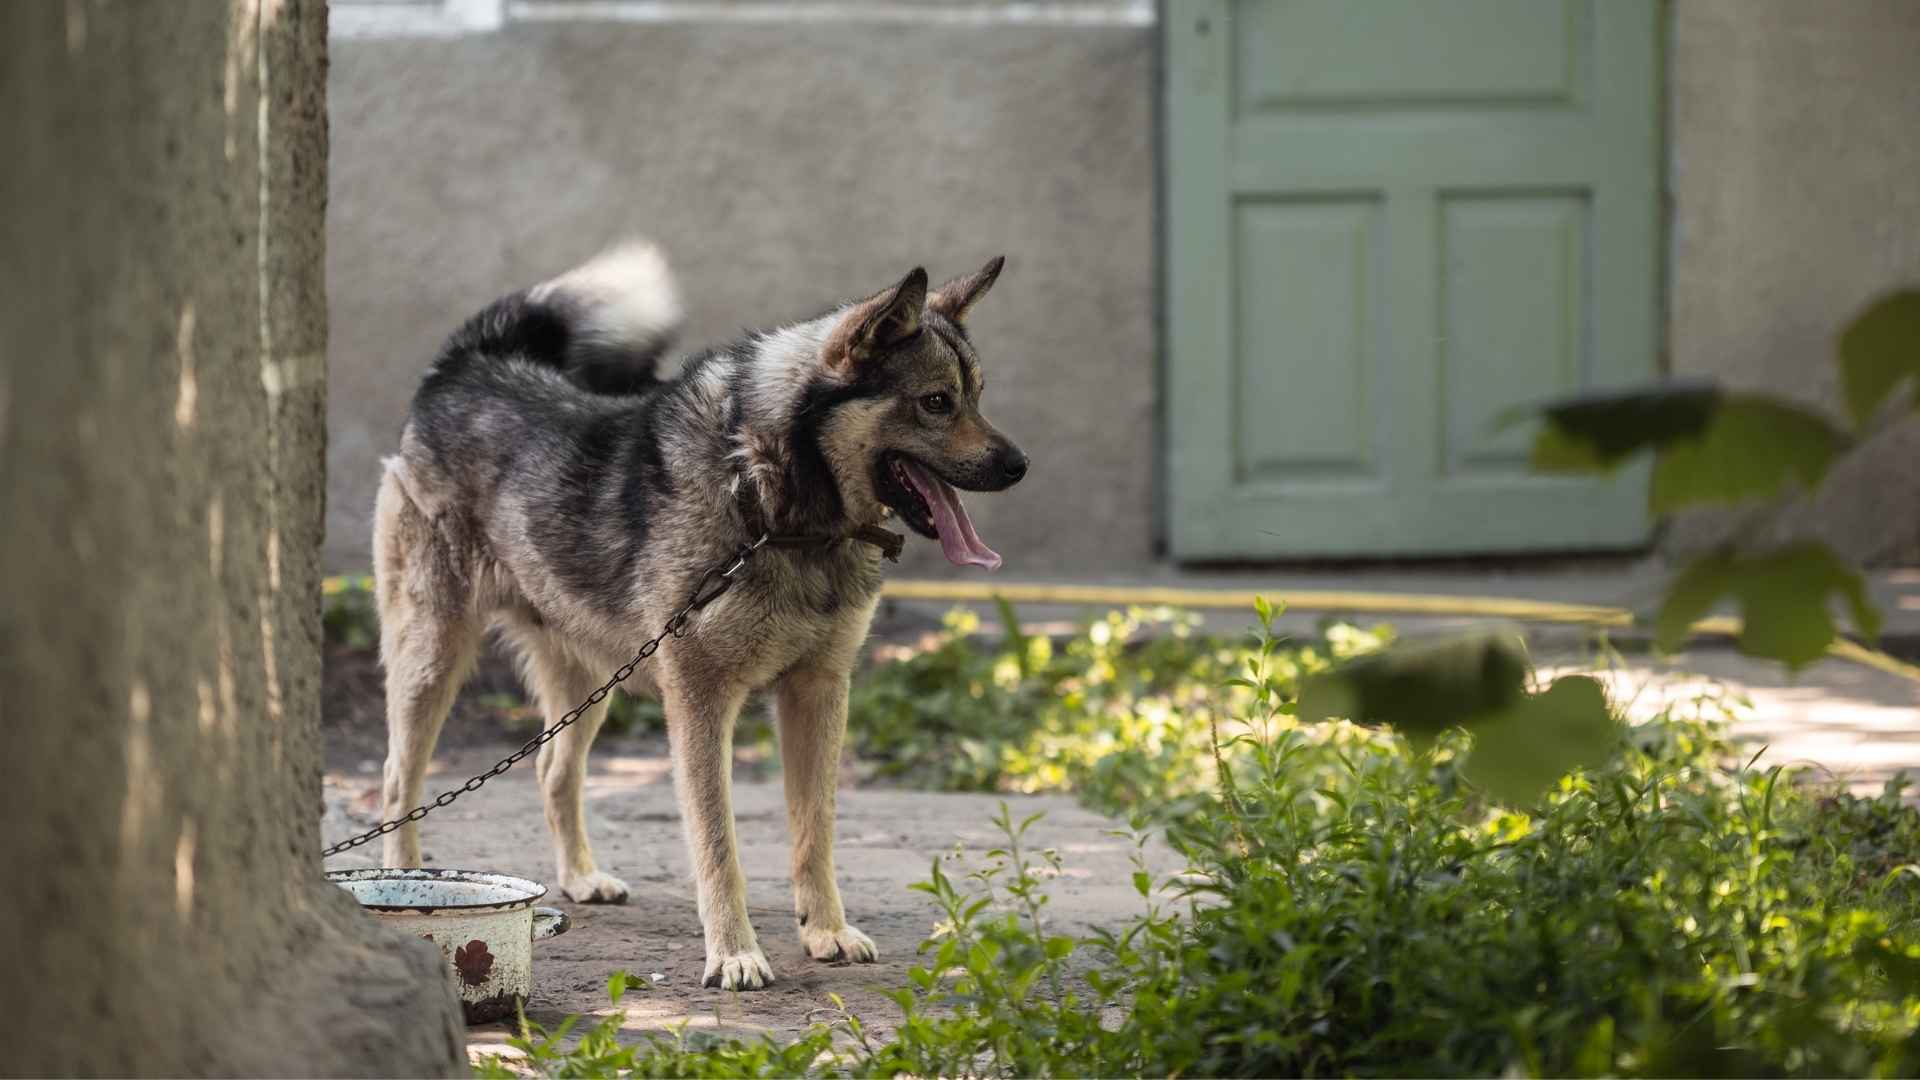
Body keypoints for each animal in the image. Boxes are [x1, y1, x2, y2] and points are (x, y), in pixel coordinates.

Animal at [370, 242, 1021, 983]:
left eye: (976, 397)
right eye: (936, 402)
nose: (1019, 465)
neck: (773, 504)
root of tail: (466, 365)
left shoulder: (820, 692)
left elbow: (815, 832)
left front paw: (826, 931)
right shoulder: (701, 703)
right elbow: (717, 843)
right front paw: (734, 953)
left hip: (590, 678)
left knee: (553, 771)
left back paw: (581, 878)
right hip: (432, 657)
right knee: (397, 781)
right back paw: (403, 887)